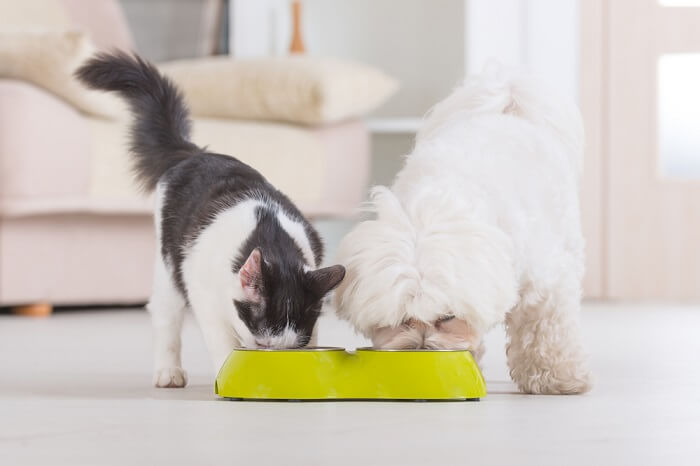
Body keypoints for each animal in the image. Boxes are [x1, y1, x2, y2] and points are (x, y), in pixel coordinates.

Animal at [78, 51, 346, 388]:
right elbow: (221, 341)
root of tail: (194, 153)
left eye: (291, 350)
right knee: (165, 313)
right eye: (260, 344)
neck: (272, 238)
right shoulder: (204, 293)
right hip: (169, 263)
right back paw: (168, 372)